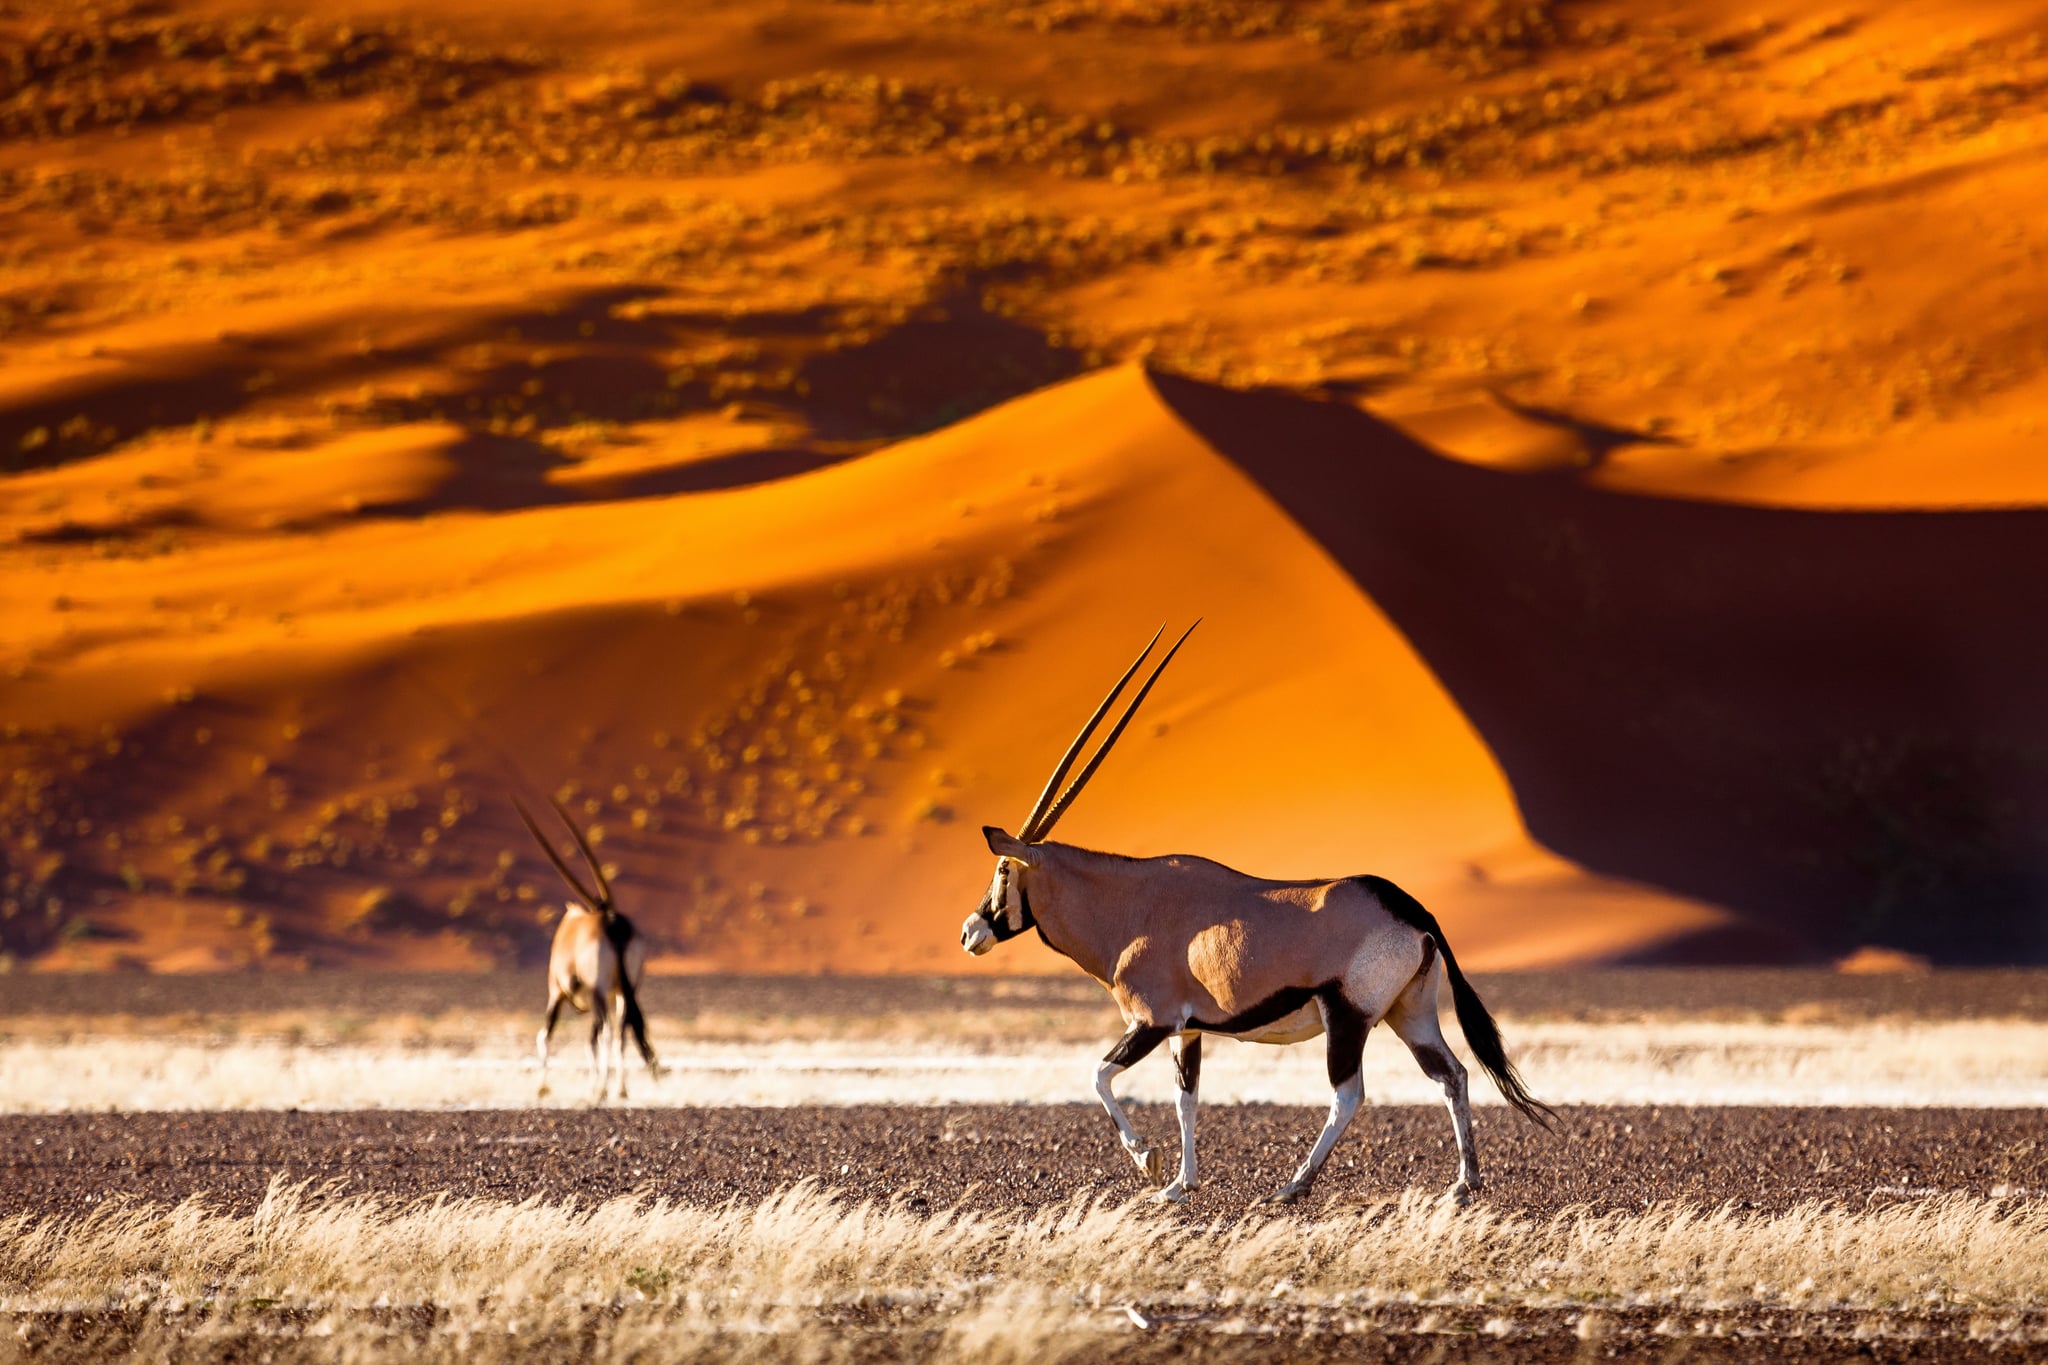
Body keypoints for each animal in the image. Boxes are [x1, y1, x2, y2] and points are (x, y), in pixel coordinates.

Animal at [515, 795, 661, 1103]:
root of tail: (612, 922)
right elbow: (596, 1040)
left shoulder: (557, 992)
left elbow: (545, 1034)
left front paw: (542, 1088)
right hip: (621, 992)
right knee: (619, 1032)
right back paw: (619, 1089)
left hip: (598, 990)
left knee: (603, 1032)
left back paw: (603, 1089)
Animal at [959, 625, 1553, 1205]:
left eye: (1003, 871)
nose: (970, 932)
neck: (1127, 906)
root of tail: (1411, 906)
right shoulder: (1187, 1030)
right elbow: (1186, 1098)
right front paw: (1180, 1185)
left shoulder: (1151, 1021)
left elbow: (1099, 1076)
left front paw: (1149, 1161)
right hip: (1409, 1012)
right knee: (1451, 1074)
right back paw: (1465, 1182)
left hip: (1349, 1016)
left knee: (1348, 1093)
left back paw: (1293, 1186)